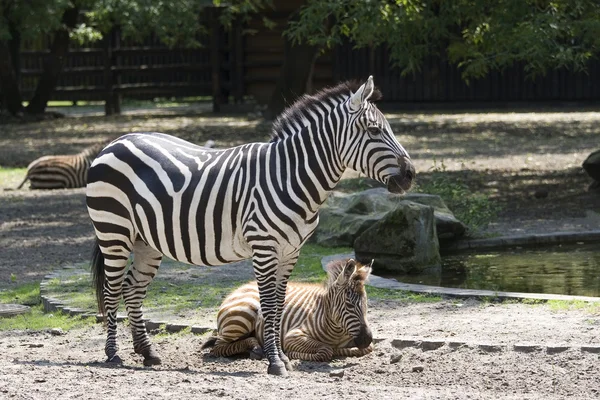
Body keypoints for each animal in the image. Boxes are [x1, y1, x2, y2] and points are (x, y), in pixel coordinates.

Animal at [204, 260, 372, 362]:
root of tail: (241, 287)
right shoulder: (292, 336)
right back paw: (257, 349)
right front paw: (291, 354)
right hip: (243, 315)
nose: (367, 338)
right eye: (349, 304)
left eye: (365, 303)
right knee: (217, 347)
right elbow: (326, 350)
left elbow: (364, 349)